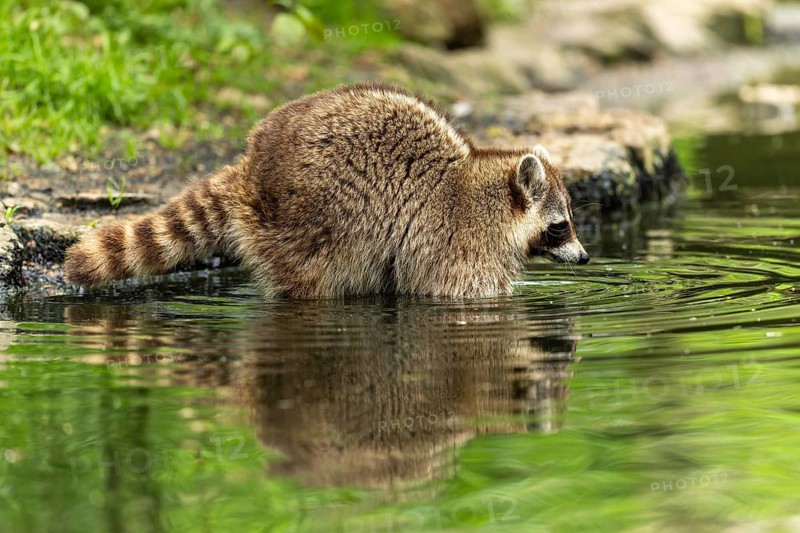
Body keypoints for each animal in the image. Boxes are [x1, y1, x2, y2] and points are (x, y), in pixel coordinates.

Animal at [65, 83, 589, 298]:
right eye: (559, 226)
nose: (585, 257)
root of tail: (250, 164)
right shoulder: (456, 238)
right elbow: (459, 293)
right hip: (306, 222)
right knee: (313, 278)